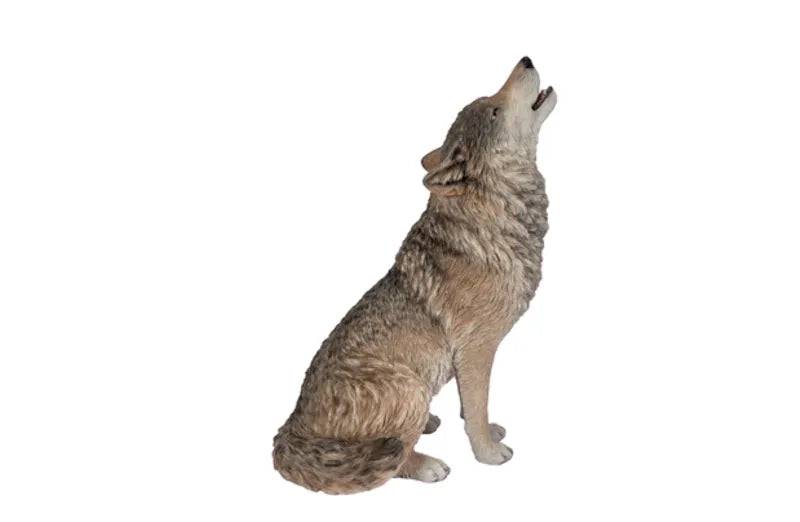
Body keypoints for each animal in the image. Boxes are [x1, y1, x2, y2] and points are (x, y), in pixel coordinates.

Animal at [273, 56, 557, 494]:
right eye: (493, 109)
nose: (526, 60)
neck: (494, 214)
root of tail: (290, 430)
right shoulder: (477, 349)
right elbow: (477, 408)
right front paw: (488, 453)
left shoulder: (465, 360)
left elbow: (470, 406)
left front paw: (487, 432)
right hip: (410, 386)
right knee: (394, 459)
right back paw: (427, 465)